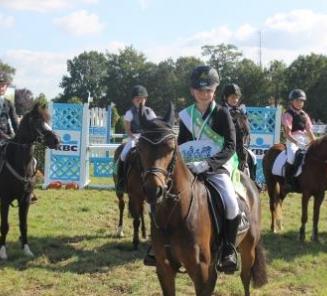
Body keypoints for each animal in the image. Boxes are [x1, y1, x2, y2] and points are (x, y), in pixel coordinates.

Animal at [0, 102, 59, 260]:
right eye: (35, 120)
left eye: (47, 119)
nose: (56, 140)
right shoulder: (4, 199)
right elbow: (5, 225)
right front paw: (3, 252)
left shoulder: (25, 199)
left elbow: (23, 225)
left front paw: (26, 250)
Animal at [137, 104, 268, 296]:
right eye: (140, 148)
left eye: (170, 148)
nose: (153, 190)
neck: (174, 215)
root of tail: (248, 181)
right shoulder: (164, 270)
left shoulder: (202, 272)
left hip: (248, 247)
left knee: (245, 278)